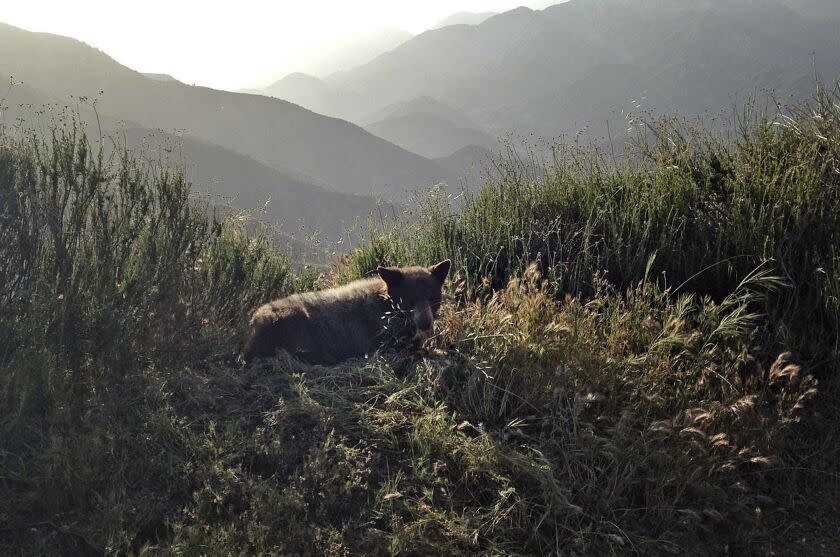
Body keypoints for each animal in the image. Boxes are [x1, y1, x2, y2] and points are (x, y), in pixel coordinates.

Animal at [243, 260, 450, 364]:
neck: (387, 307)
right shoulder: (383, 337)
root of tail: (253, 322)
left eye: (433, 297)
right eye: (408, 300)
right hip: (291, 322)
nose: (425, 323)